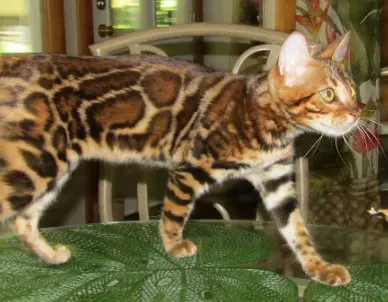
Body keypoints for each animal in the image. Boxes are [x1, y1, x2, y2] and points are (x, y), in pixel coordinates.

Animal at [0, 31, 358, 286]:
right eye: (328, 95)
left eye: (353, 93)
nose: (357, 113)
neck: (268, 124)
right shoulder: (191, 167)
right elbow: (174, 213)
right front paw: (173, 246)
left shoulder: (276, 180)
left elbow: (298, 231)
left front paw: (319, 268)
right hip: (34, 164)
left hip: (50, 167)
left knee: (24, 220)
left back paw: (50, 256)